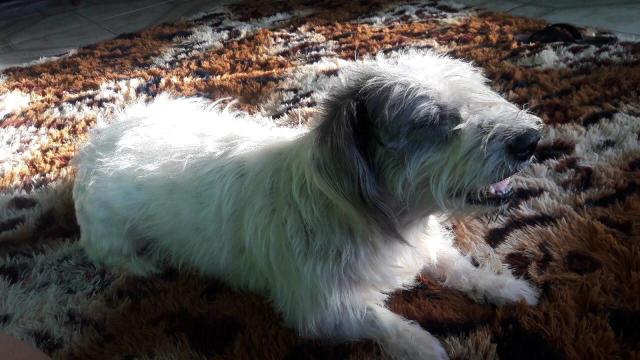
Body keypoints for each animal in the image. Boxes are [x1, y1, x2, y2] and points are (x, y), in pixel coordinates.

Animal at [74, 51, 544, 360]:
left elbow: (462, 269)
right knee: (116, 257)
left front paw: (504, 287)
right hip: (112, 239)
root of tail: (102, 140)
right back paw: (147, 267)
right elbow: (385, 321)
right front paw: (424, 347)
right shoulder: (319, 309)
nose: (530, 140)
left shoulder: (428, 248)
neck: (383, 220)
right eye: (431, 121)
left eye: (478, 92)